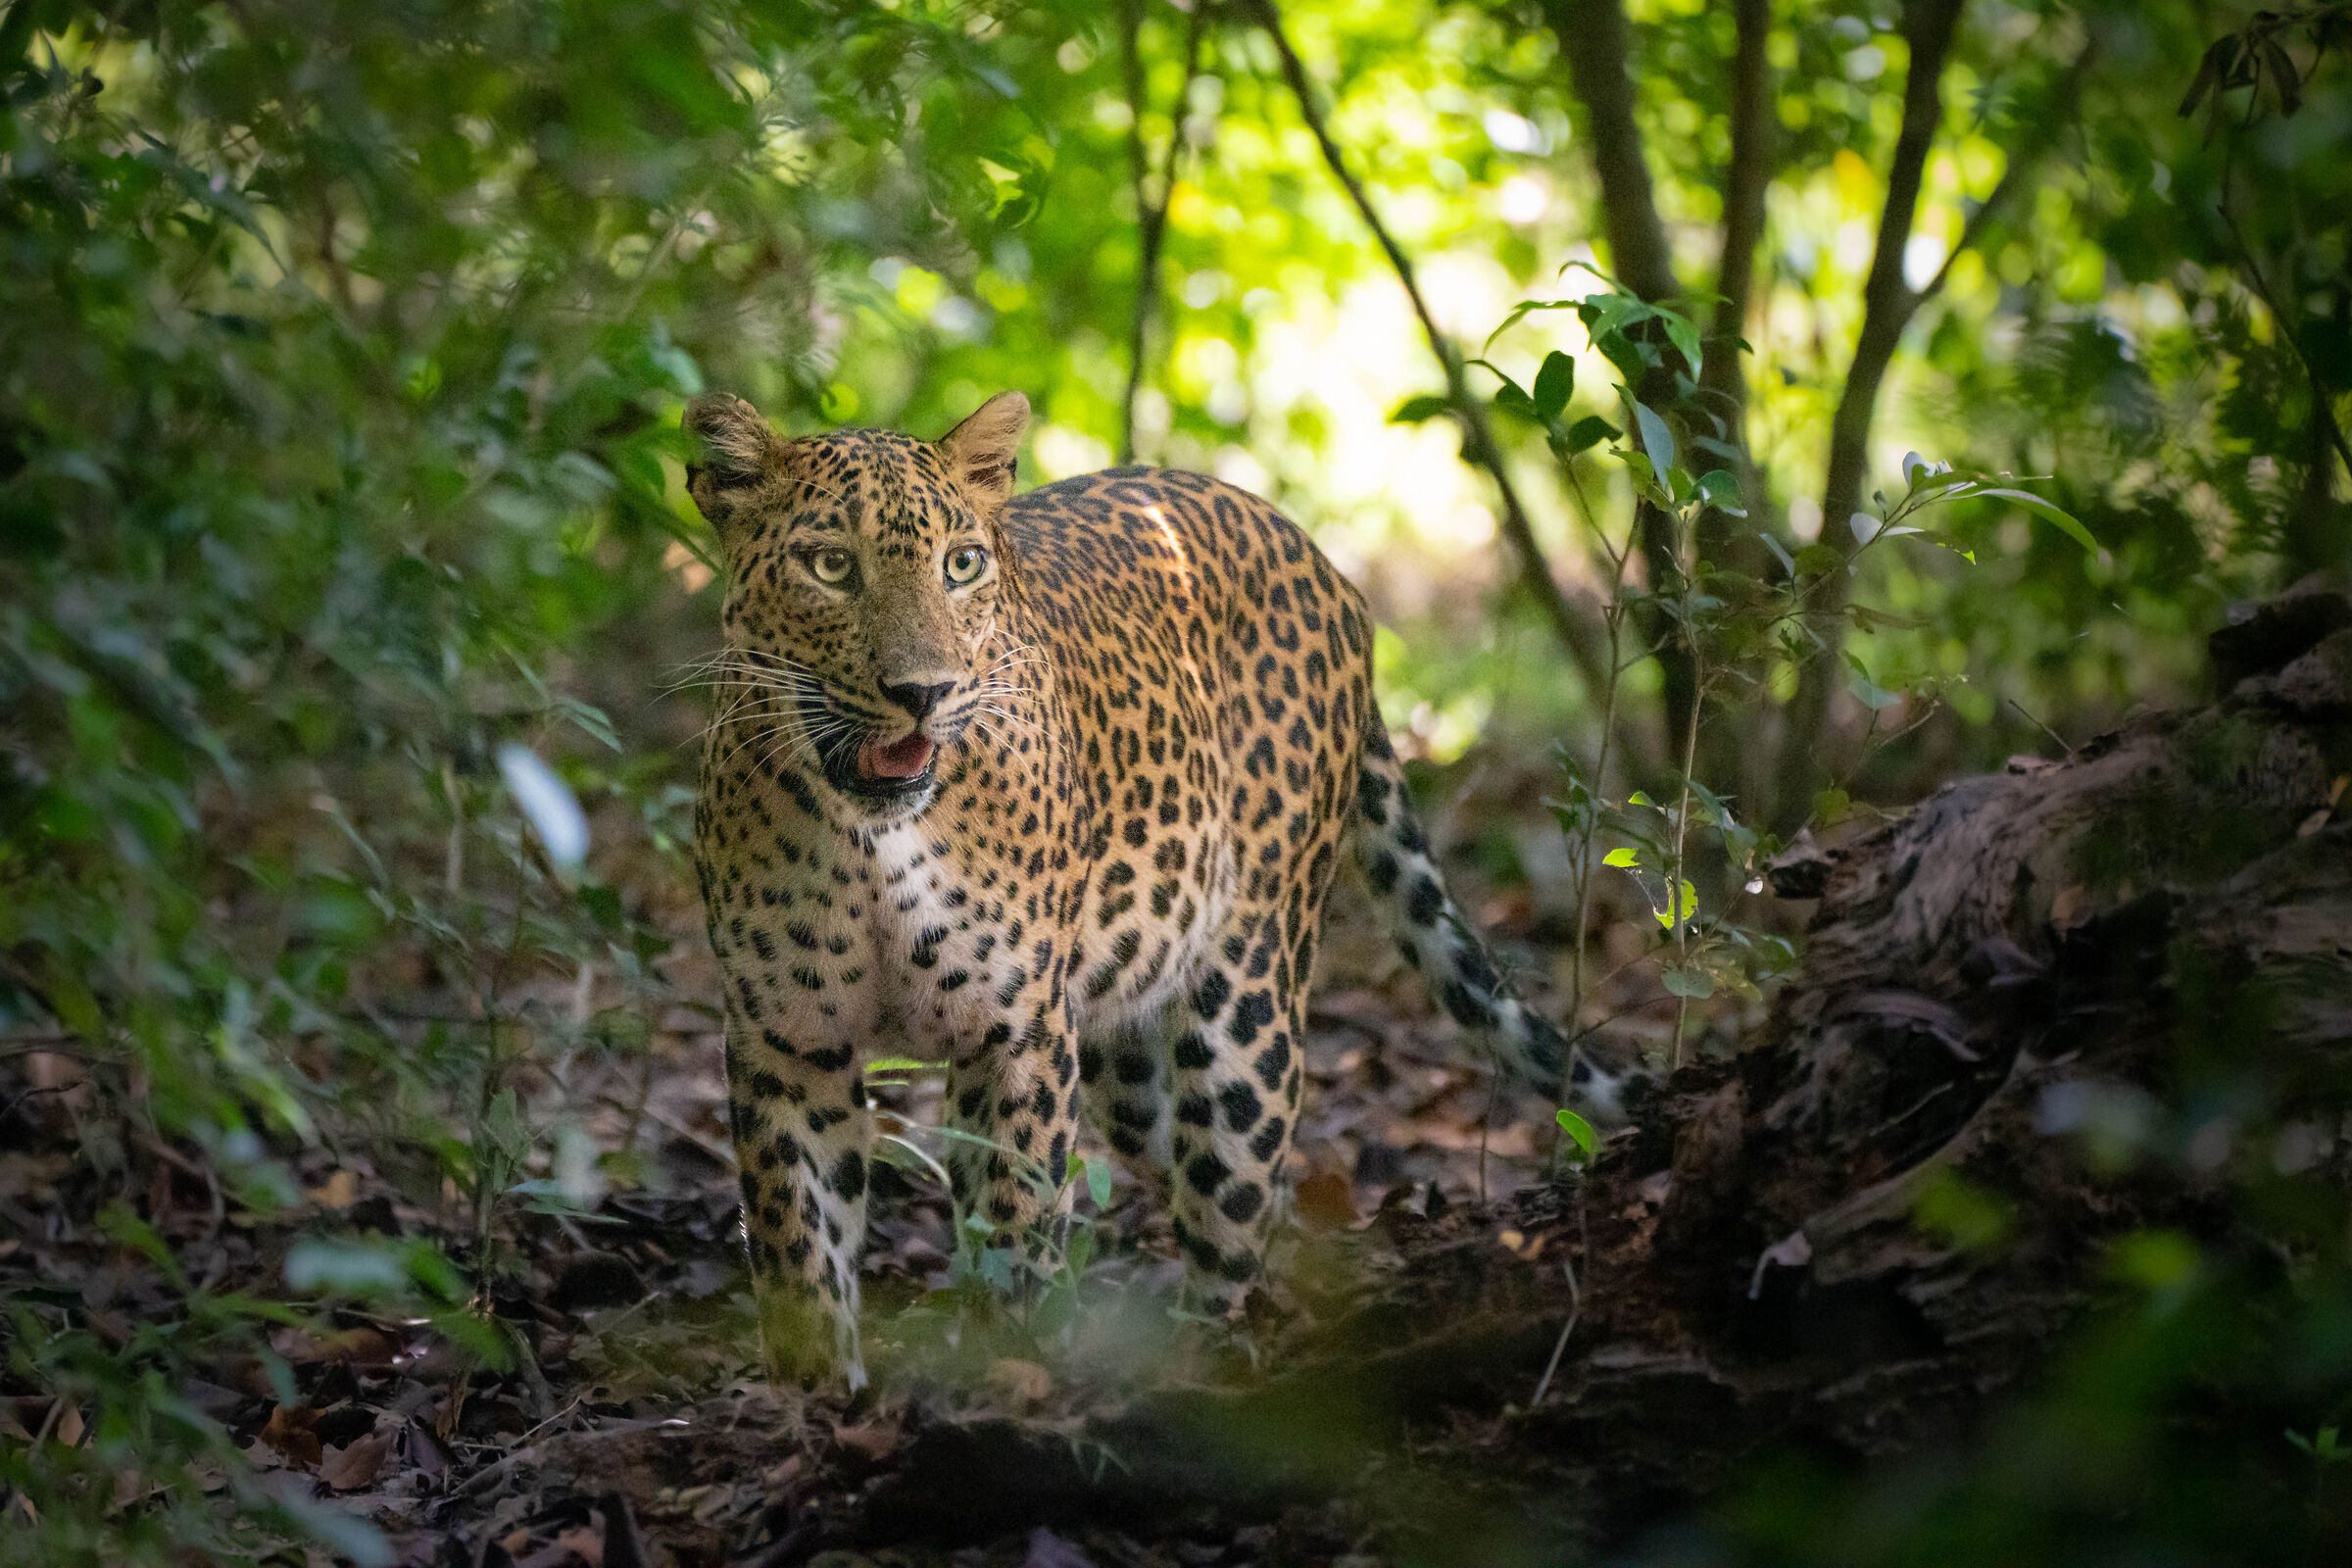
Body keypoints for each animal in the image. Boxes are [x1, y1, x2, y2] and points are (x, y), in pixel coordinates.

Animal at [684, 389, 1618, 1387]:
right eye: (830, 566)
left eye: (961, 564)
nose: (924, 692)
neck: (875, 839)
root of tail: (1320, 559)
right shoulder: (786, 1042)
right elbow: (799, 1247)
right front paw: (824, 1400)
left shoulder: (1017, 1035)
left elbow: (1014, 1225)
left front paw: (1006, 1376)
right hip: (1121, 1057)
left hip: (1245, 998)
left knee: (1232, 1197)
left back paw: (1205, 1363)